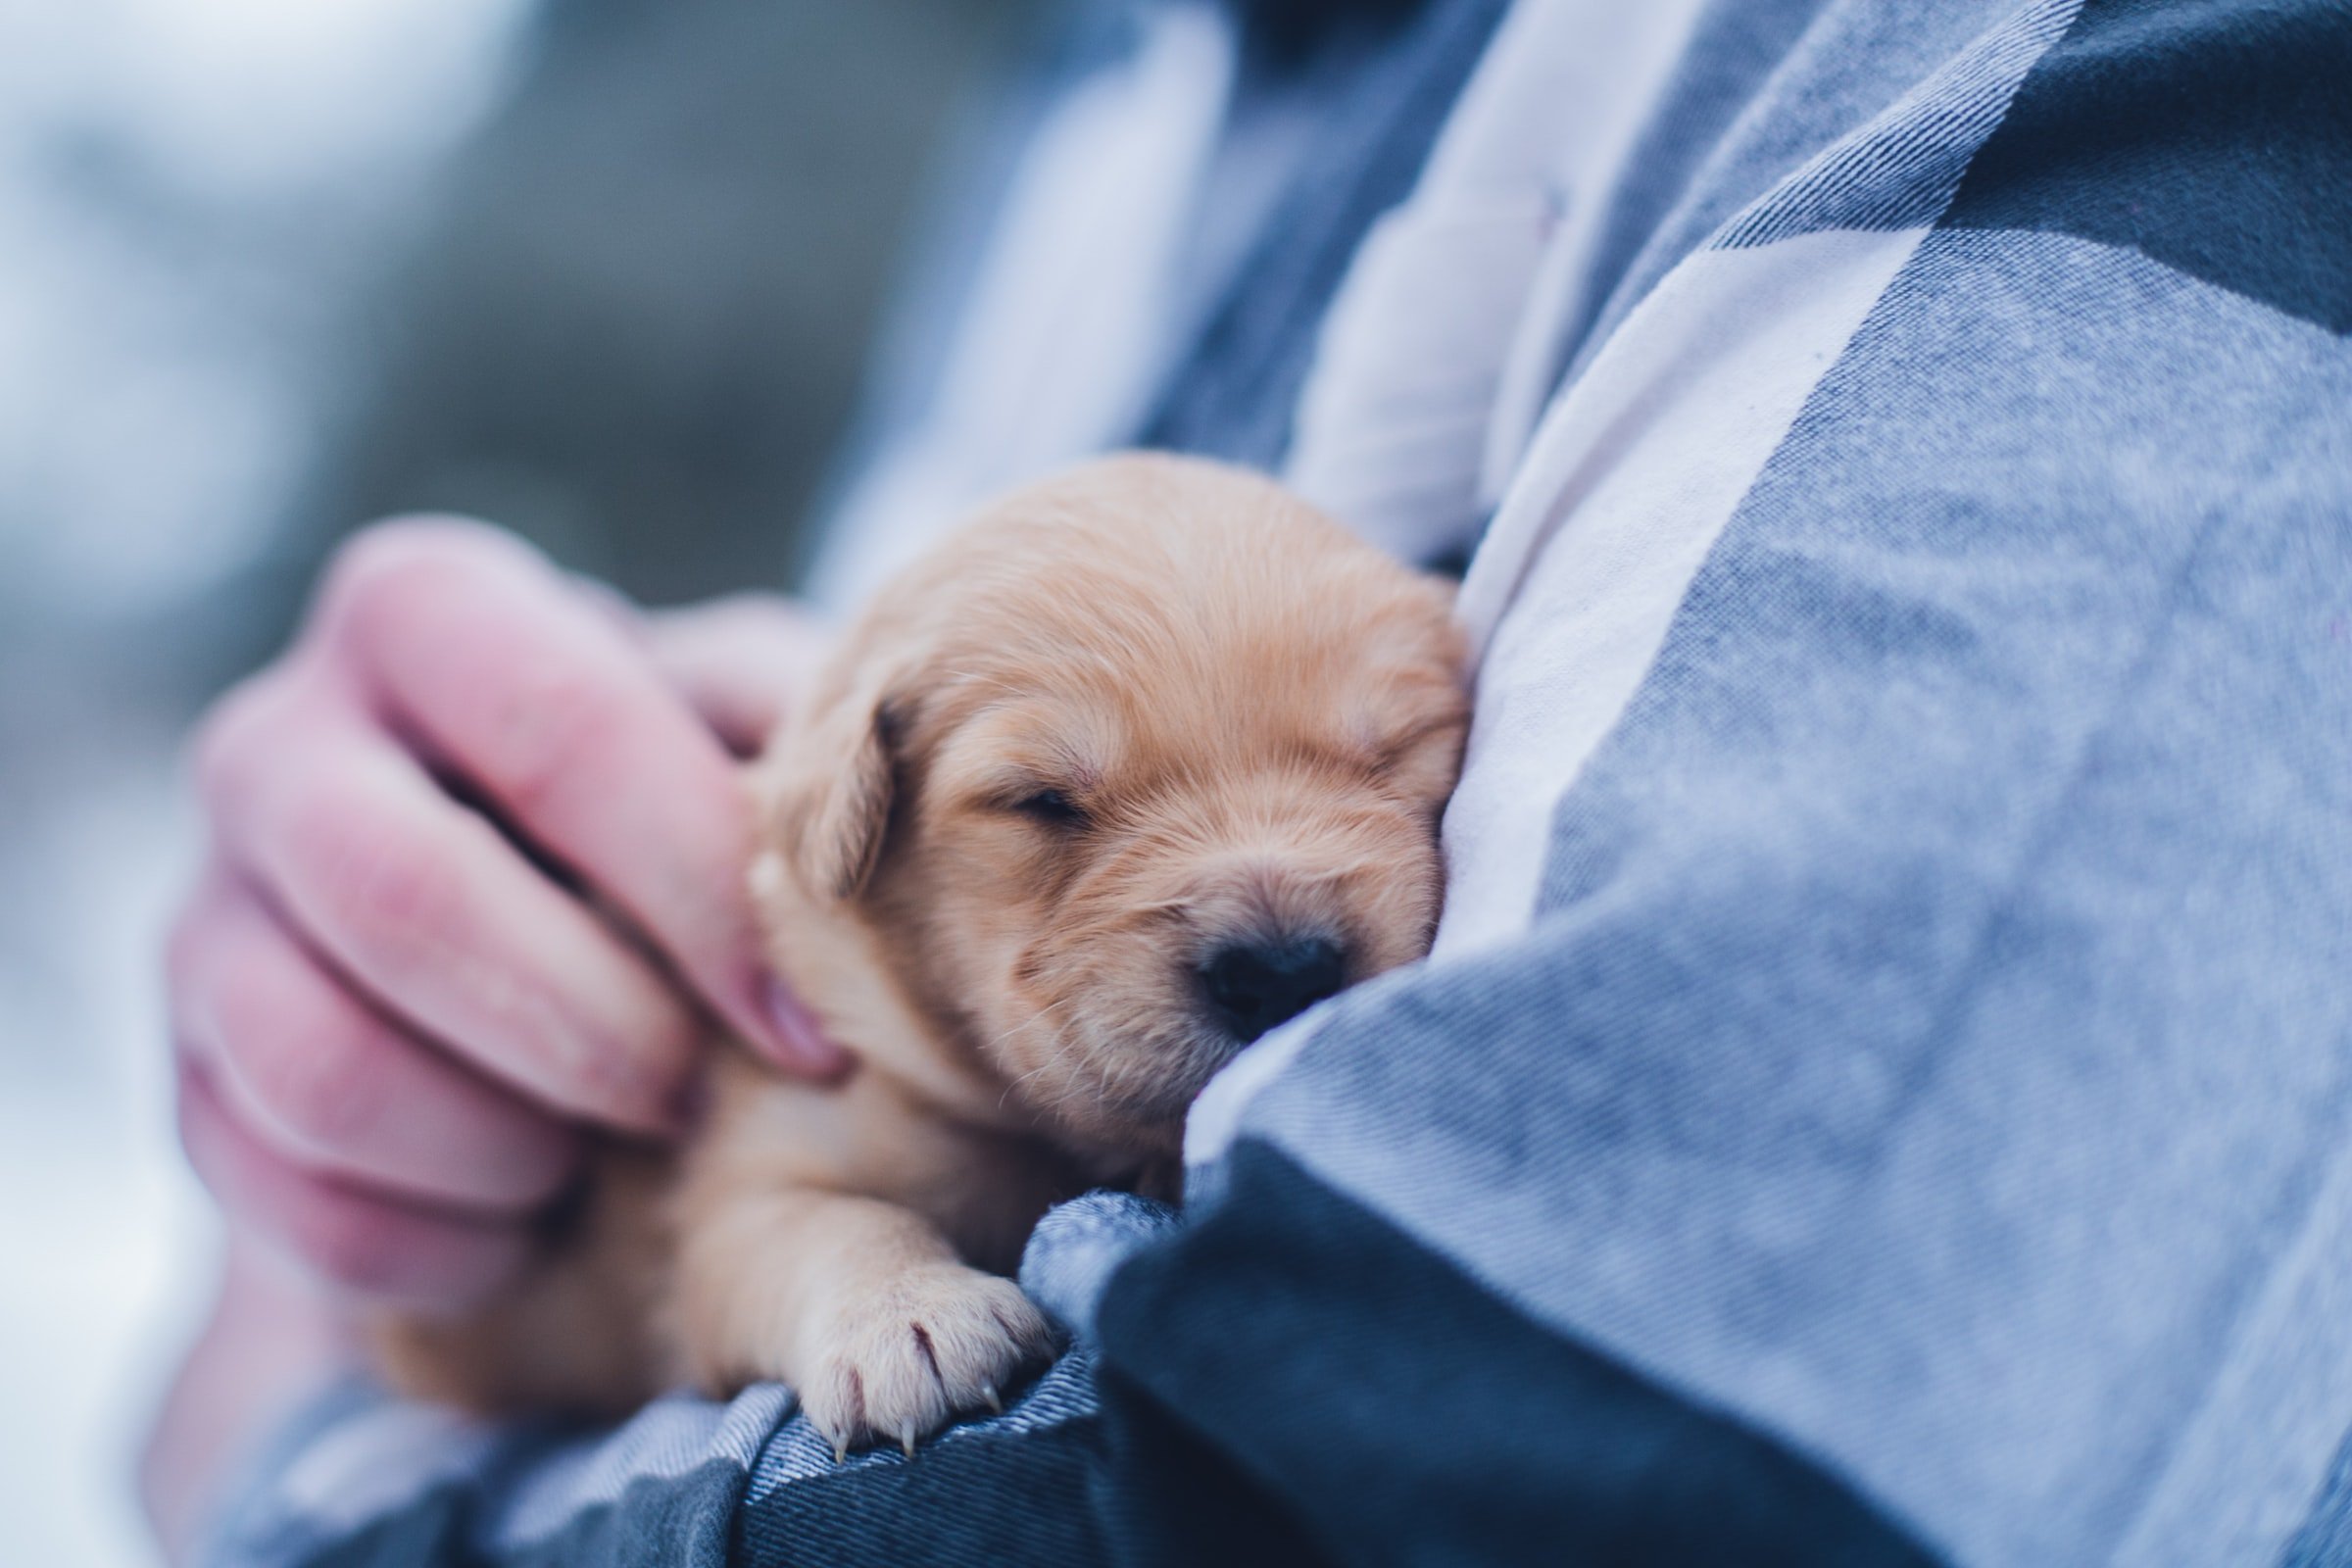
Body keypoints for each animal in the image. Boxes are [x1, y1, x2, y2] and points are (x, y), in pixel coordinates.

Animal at [373, 453, 1458, 1457]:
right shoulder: (740, 1185)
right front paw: (908, 1316)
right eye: (1041, 801)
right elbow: (823, 1222)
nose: (1280, 972)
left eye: (1395, 749)